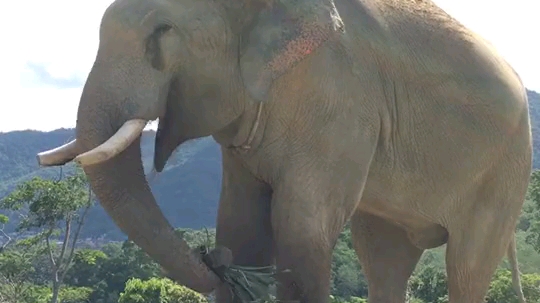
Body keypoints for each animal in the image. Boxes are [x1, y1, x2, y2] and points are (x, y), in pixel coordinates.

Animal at [37, 0, 532, 302]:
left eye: (163, 31)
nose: (212, 259)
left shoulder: (340, 99)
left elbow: (300, 227)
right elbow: (242, 224)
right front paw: (236, 258)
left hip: (505, 173)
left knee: (466, 268)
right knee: (383, 259)